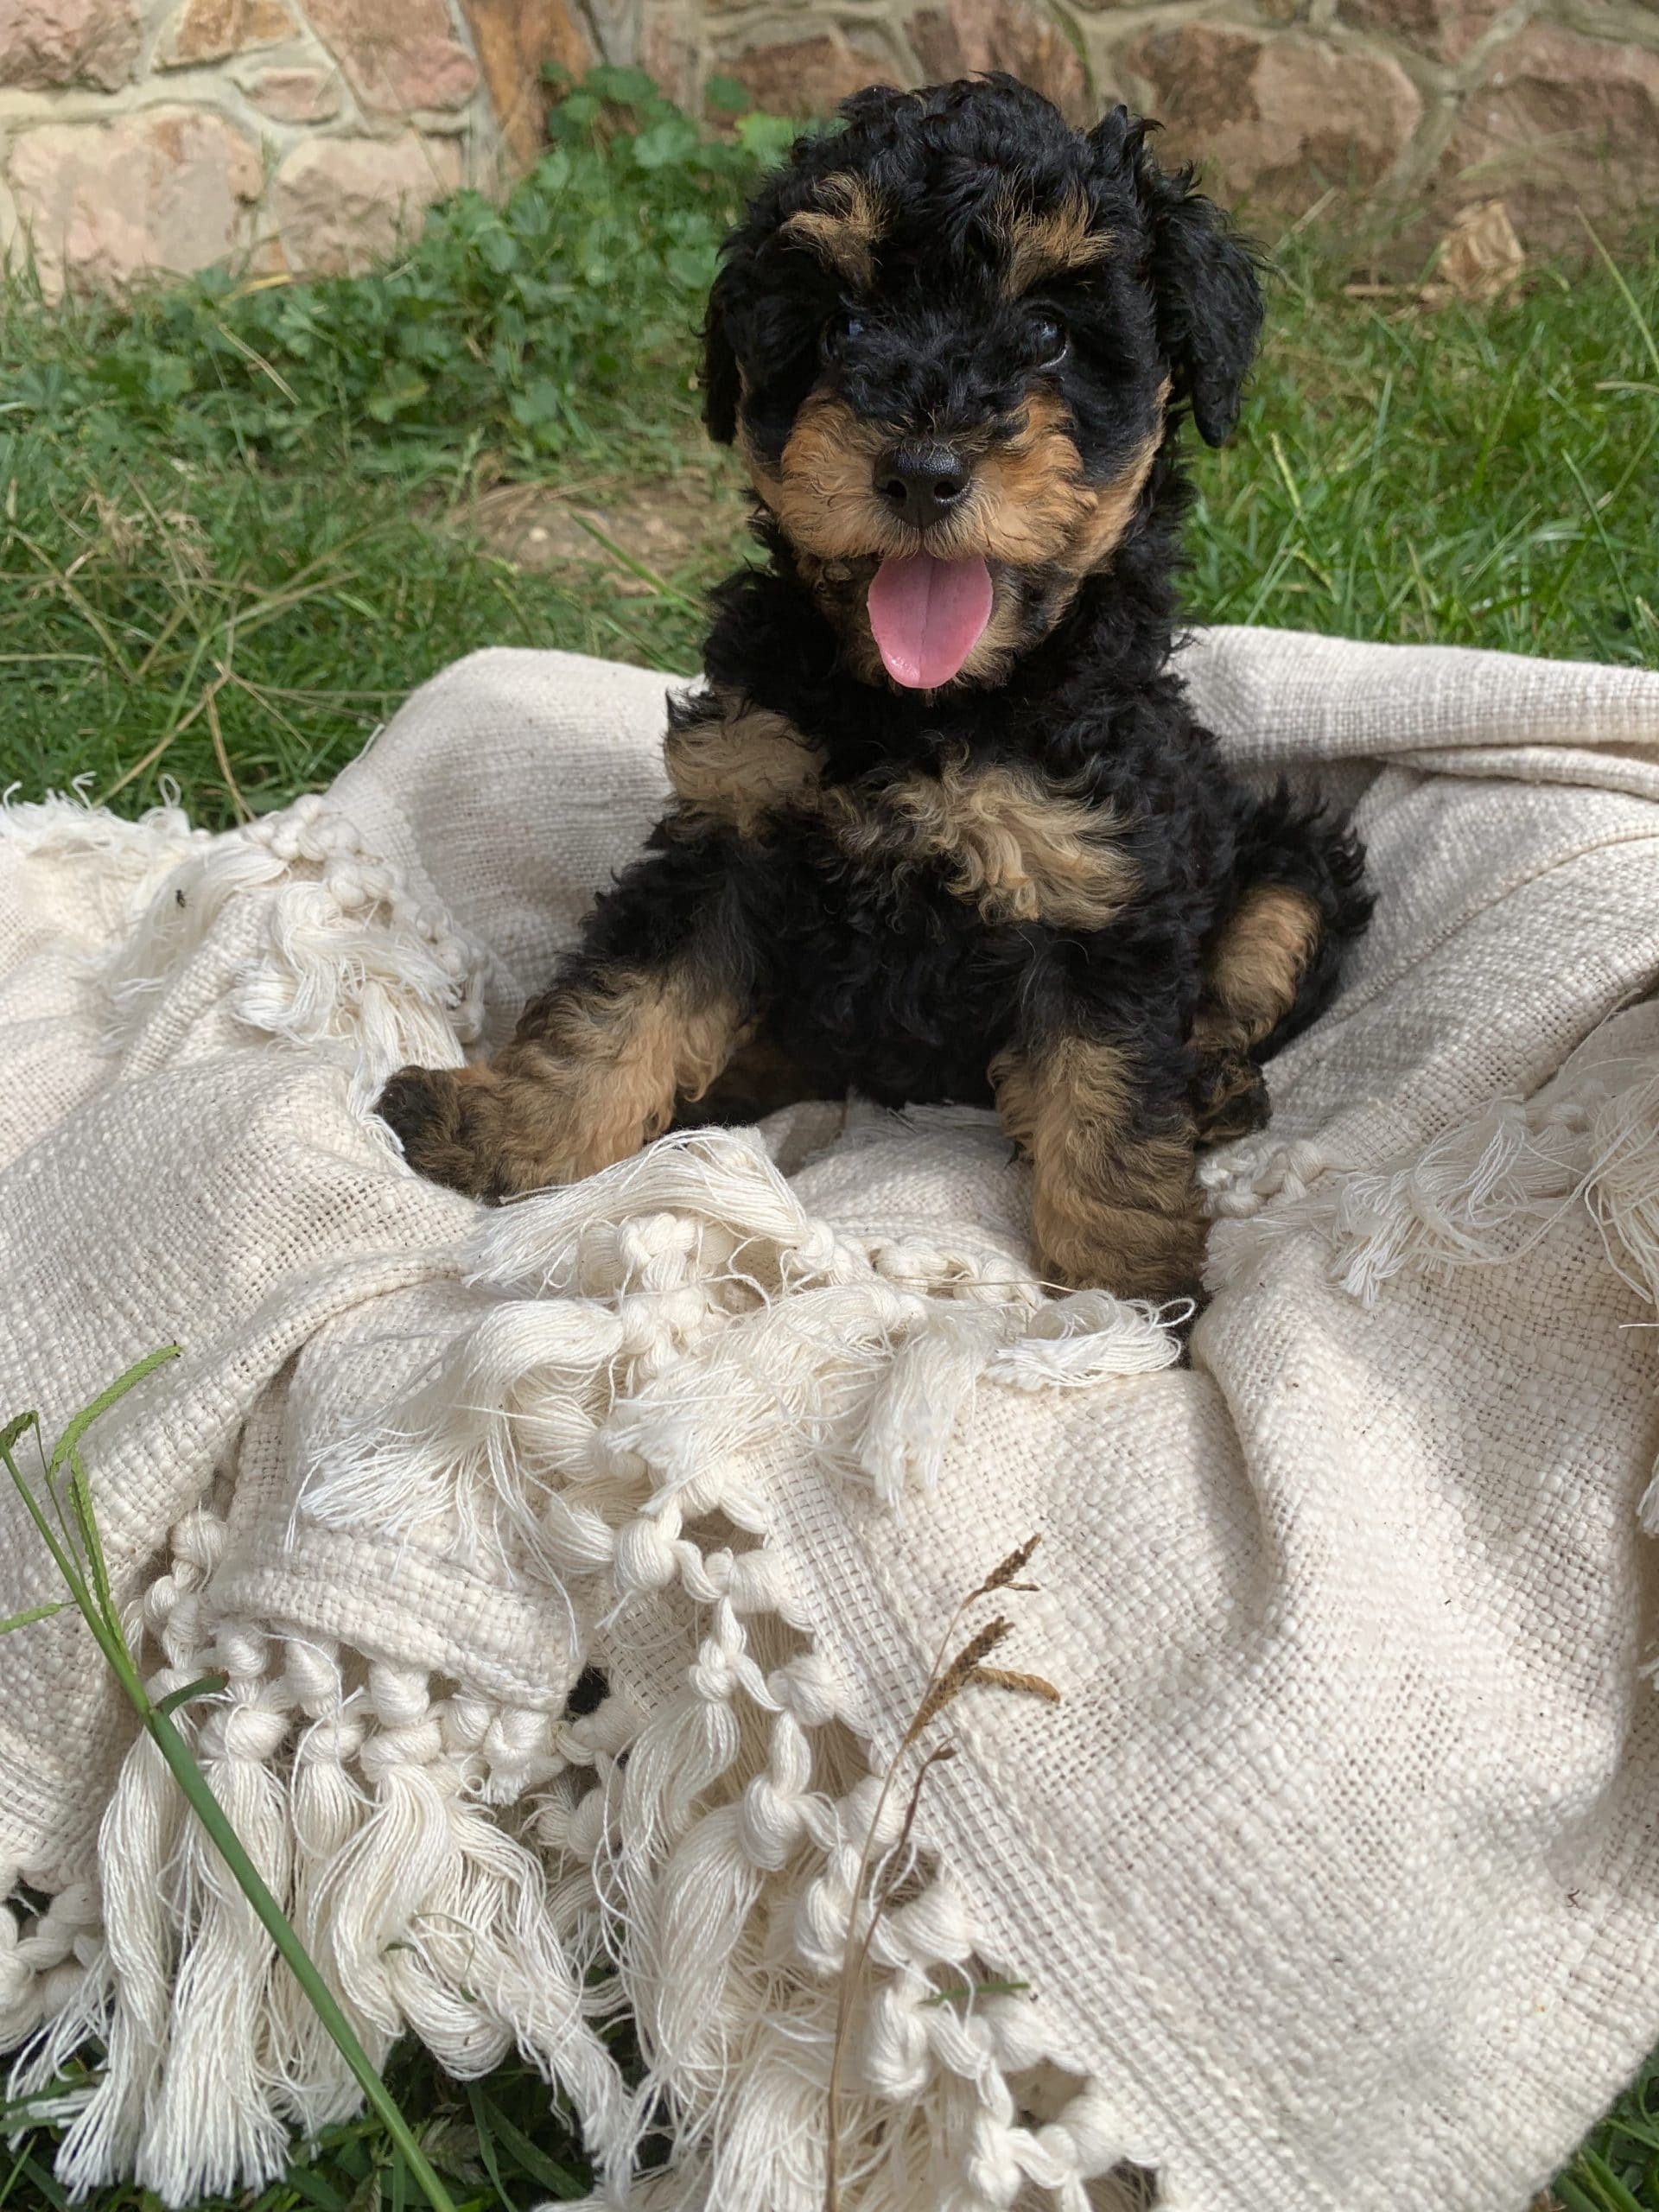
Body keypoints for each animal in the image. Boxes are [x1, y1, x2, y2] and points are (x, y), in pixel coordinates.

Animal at [380, 78, 1380, 1300]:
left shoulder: (1096, 888)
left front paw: (1128, 1285)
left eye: (1049, 332)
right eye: (842, 326)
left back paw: (1216, 1087)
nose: (921, 471)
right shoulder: (734, 826)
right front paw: (509, 1136)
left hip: (1291, 867)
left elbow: (1108, 1095)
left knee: (1244, 981)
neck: (925, 708)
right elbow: (619, 1005)